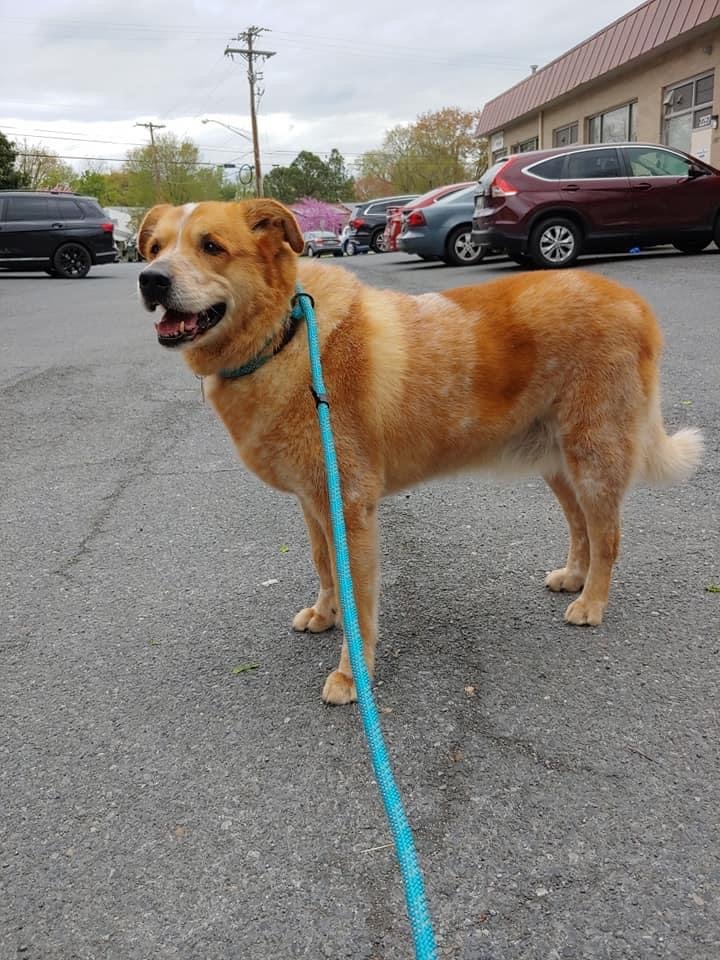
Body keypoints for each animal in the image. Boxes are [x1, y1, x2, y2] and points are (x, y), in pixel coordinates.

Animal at [136, 197, 704, 704]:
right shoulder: (313, 502)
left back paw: (592, 602)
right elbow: (324, 566)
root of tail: (633, 301)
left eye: (211, 246)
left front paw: (351, 676)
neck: (286, 337)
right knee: (581, 525)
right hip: (557, 463)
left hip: (593, 457)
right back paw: (575, 578)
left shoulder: (351, 509)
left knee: (608, 535)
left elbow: (358, 599)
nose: (150, 280)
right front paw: (325, 615)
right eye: (155, 248)